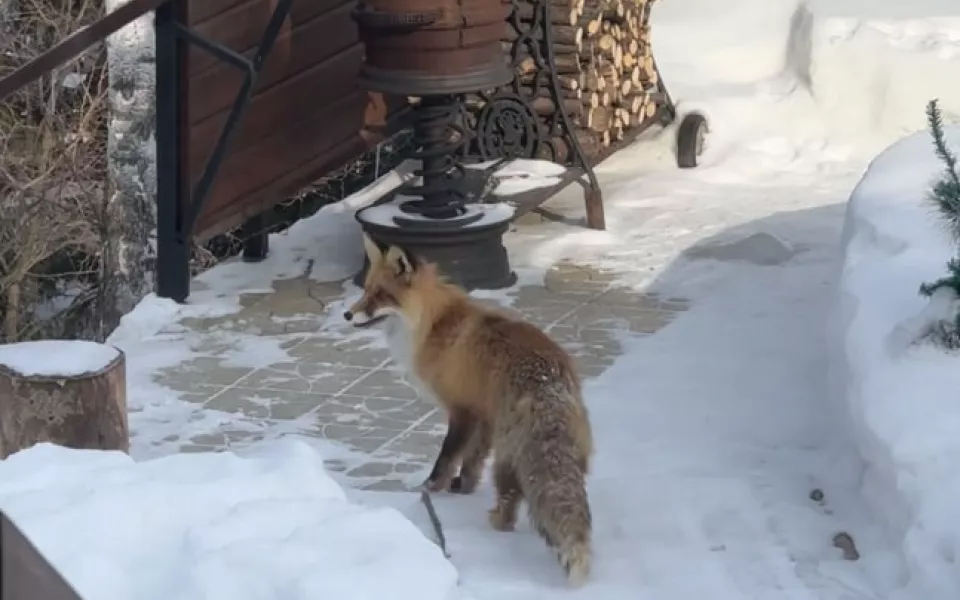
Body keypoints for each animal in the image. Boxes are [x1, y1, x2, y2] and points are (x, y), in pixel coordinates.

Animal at [344, 234, 592, 584]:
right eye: (366, 289)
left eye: (381, 295)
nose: (347, 315)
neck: (432, 324)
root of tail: (551, 381)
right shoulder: (483, 415)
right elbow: (472, 461)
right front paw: (463, 488)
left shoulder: (461, 410)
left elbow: (446, 458)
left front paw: (429, 491)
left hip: (508, 457)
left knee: (510, 499)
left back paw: (496, 524)